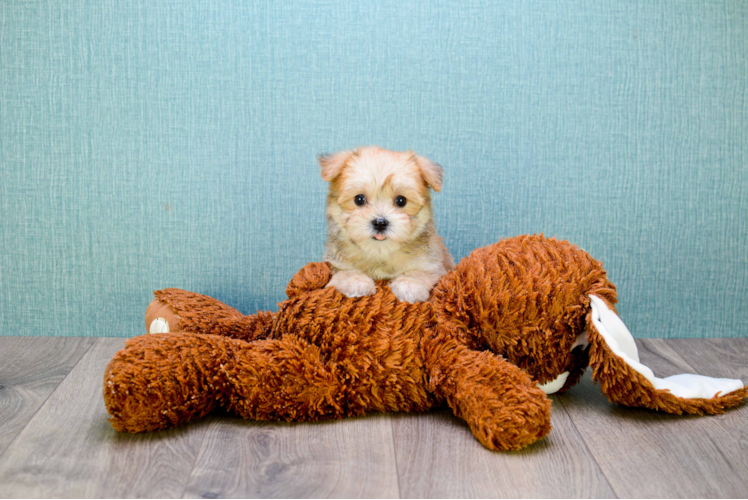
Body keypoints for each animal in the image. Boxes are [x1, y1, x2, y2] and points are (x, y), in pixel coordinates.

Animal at [318, 145, 452, 300]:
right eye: (359, 199)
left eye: (401, 200)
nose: (380, 222)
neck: (380, 253)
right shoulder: (336, 264)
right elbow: (345, 272)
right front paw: (356, 281)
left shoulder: (434, 265)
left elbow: (421, 273)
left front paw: (409, 284)